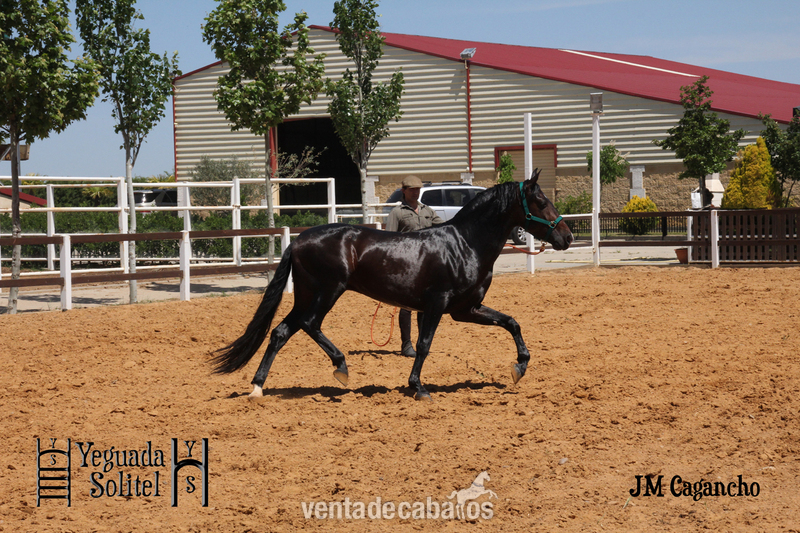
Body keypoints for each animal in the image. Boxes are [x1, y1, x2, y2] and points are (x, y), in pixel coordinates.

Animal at [211, 169, 573, 401]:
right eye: (541, 202)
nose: (567, 237)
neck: (465, 243)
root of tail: (299, 240)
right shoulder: (438, 304)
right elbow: (425, 344)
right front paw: (419, 388)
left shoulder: (466, 309)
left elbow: (511, 322)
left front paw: (519, 367)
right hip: (327, 292)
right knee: (310, 324)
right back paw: (341, 367)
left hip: (306, 295)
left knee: (281, 332)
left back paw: (257, 387)